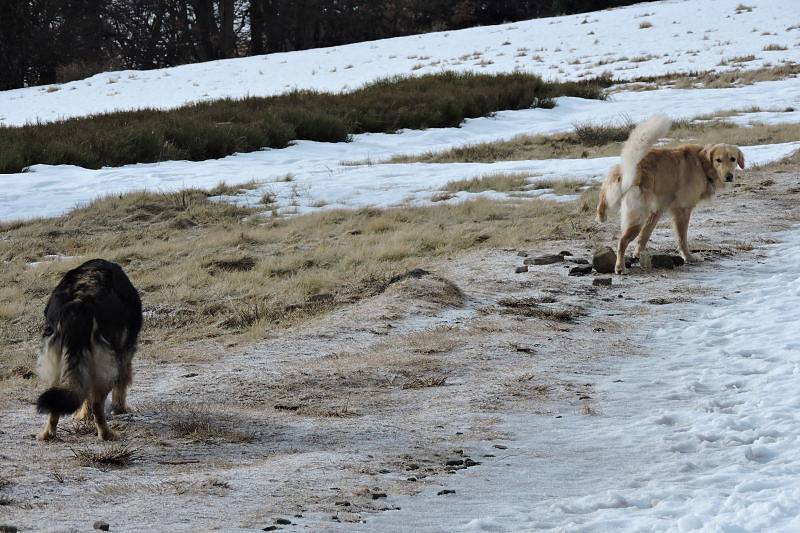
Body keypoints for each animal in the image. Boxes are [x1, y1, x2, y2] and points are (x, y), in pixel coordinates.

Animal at [36, 258, 142, 440]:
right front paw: (120, 409)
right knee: (97, 404)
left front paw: (82, 416)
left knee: (56, 401)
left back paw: (47, 434)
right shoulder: (124, 354)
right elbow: (121, 385)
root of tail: (77, 305)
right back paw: (107, 434)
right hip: (106, 366)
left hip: (56, 364)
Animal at [592, 114, 744, 272]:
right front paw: (688, 257)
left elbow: (644, 237)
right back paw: (620, 267)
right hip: (638, 216)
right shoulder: (682, 210)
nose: (729, 176)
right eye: (718, 160)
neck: (702, 165)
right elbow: (682, 239)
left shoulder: (657, 210)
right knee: (622, 241)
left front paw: (638, 254)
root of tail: (633, 168)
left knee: (603, 200)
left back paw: (601, 216)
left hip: (619, 196)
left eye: (733, 159)